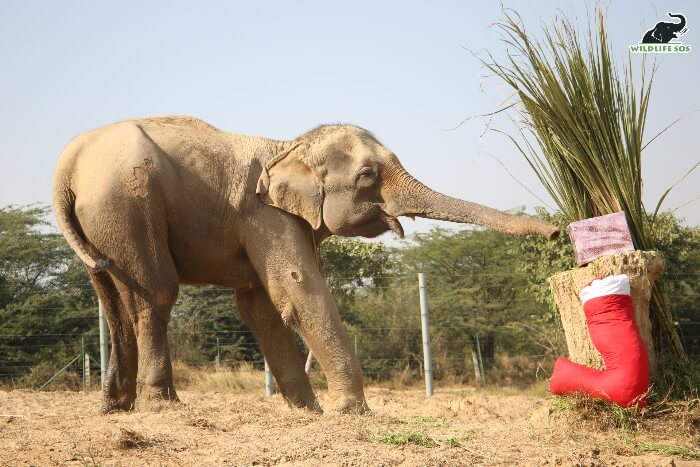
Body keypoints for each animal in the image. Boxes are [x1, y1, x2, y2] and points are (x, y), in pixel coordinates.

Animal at [52, 116, 560, 414]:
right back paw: (164, 406)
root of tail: (68, 163)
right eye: (368, 176)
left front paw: (309, 412)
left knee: (113, 298)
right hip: (129, 204)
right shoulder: (262, 213)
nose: (557, 232)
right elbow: (296, 291)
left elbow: (260, 306)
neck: (289, 146)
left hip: (103, 221)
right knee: (155, 295)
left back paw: (115, 408)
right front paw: (351, 413)